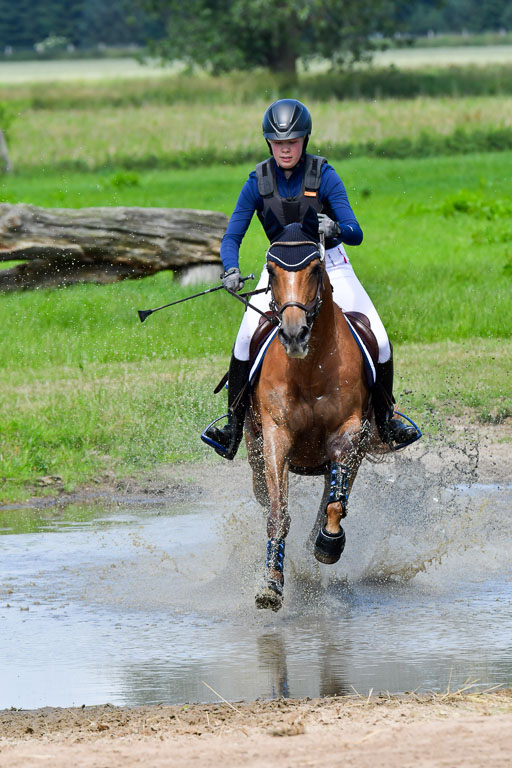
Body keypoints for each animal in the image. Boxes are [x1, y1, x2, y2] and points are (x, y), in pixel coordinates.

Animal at [245, 208, 374, 612]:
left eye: (316, 269)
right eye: (271, 271)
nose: (294, 334)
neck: (311, 367)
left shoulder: (348, 433)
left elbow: (334, 504)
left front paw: (328, 544)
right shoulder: (275, 436)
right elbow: (277, 513)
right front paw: (271, 584)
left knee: (334, 496)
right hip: (253, 448)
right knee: (263, 494)